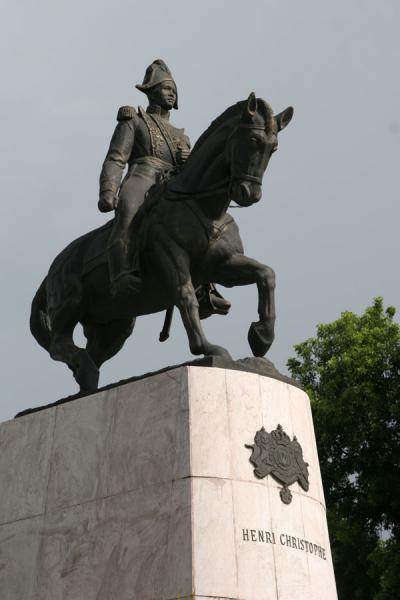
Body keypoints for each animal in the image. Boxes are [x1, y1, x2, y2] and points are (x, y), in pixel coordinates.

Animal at [29, 93, 294, 392]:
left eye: (273, 148)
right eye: (252, 140)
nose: (249, 193)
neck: (203, 205)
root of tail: (53, 269)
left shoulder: (224, 265)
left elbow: (266, 274)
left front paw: (261, 336)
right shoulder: (171, 257)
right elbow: (185, 296)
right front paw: (208, 348)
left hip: (115, 322)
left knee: (91, 352)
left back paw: (87, 377)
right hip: (70, 306)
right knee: (58, 345)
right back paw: (83, 366)